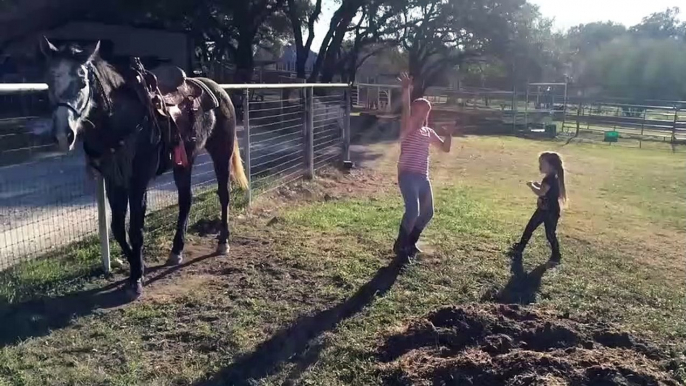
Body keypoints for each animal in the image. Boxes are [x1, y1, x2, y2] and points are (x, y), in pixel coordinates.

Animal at [39, 37, 249, 298]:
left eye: (82, 82)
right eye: (49, 80)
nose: (62, 136)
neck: (120, 120)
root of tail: (218, 90)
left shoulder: (138, 180)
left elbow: (135, 229)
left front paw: (137, 277)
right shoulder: (114, 181)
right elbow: (118, 228)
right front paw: (137, 266)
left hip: (221, 152)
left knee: (223, 195)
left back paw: (223, 242)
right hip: (185, 161)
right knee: (185, 200)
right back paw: (176, 251)